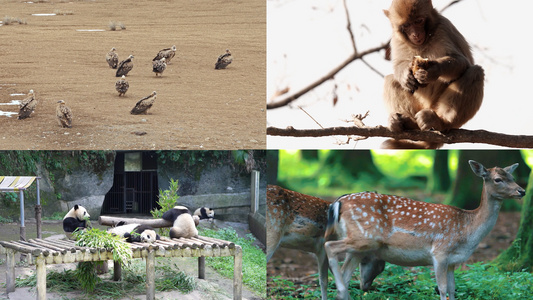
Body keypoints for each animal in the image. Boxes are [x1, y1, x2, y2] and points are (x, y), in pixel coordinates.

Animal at [322, 161, 524, 300]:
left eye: (512, 178)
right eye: (498, 179)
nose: (522, 191)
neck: (467, 230)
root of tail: (338, 202)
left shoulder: (453, 261)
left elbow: (453, 289)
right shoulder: (440, 252)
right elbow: (442, 289)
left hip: (360, 245)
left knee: (345, 273)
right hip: (364, 238)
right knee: (329, 246)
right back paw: (339, 288)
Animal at [380, 0, 484, 148]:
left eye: (419, 21)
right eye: (407, 25)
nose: (416, 34)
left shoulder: (444, 28)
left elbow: (462, 62)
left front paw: (433, 70)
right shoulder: (396, 38)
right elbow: (398, 64)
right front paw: (405, 76)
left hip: (438, 108)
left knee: (475, 72)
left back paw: (440, 122)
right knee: (391, 80)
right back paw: (408, 123)